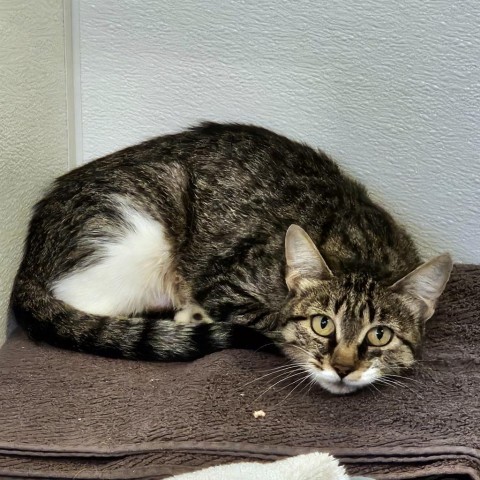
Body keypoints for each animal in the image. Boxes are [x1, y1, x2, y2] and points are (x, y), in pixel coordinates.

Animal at [12, 123, 454, 394]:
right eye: (323, 324)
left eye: (379, 335)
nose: (344, 367)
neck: (363, 247)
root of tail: (30, 255)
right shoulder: (225, 279)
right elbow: (271, 322)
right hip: (140, 233)